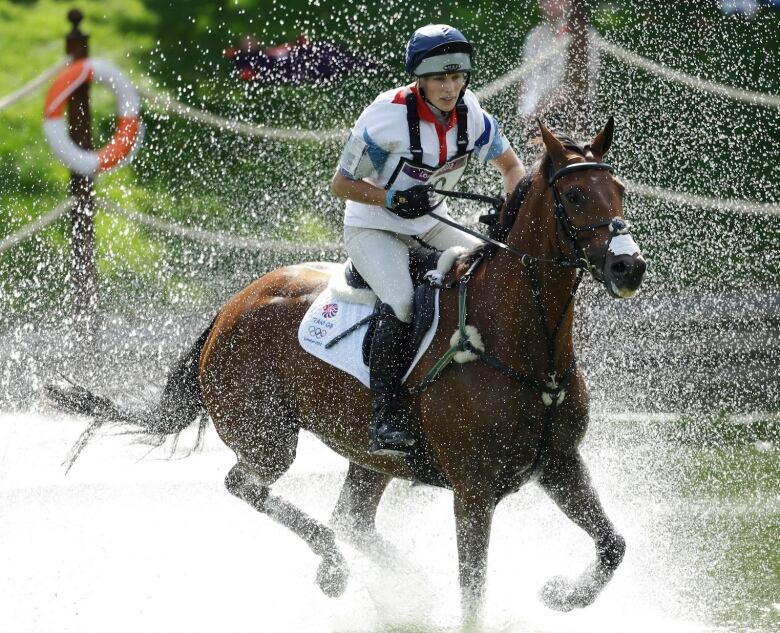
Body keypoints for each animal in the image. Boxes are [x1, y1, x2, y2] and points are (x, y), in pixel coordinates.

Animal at [47, 117, 644, 616]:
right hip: (267, 437)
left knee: (350, 520)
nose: (628, 265)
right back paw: (335, 568)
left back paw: (404, 585)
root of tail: (232, 305)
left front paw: (563, 594)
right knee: (248, 486)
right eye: (575, 194)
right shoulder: (473, 493)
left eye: (620, 190)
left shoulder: (559, 464)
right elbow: (473, 596)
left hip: (368, 453)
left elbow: (614, 545)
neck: (519, 341)